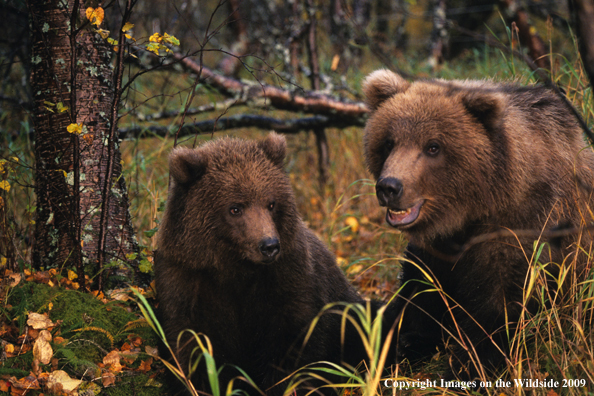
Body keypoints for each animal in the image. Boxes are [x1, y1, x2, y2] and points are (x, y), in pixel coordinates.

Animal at [155, 133, 372, 396]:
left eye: (271, 203)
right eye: (235, 208)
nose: (269, 245)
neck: (235, 266)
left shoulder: (287, 277)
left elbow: (292, 344)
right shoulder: (188, 279)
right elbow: (192, 344)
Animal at [360, 69, 592, 378]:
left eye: (433, 146)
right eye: (389, 142)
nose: (389, 186)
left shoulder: (521, 232)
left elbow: (495, 311)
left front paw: (464, 368)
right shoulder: (436, 250)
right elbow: (419, 298)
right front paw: (401, 347)